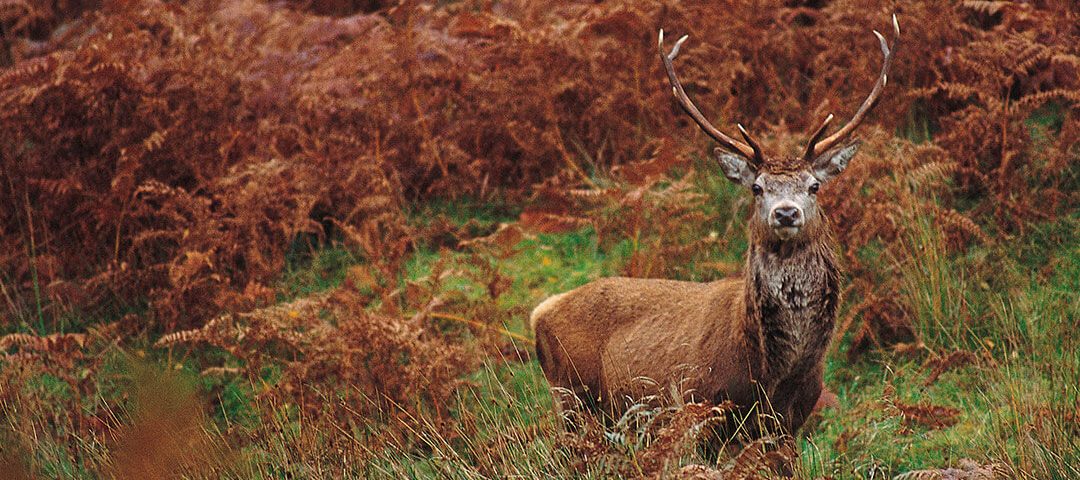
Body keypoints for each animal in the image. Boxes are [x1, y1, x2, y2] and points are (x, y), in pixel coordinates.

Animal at [533, 15, 902, 438]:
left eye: (814, 185)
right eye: (757, 187)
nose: (786, 213)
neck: (773, 374)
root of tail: (541, 311)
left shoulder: (791, 420)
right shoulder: (702, 404)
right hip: (572, 396)